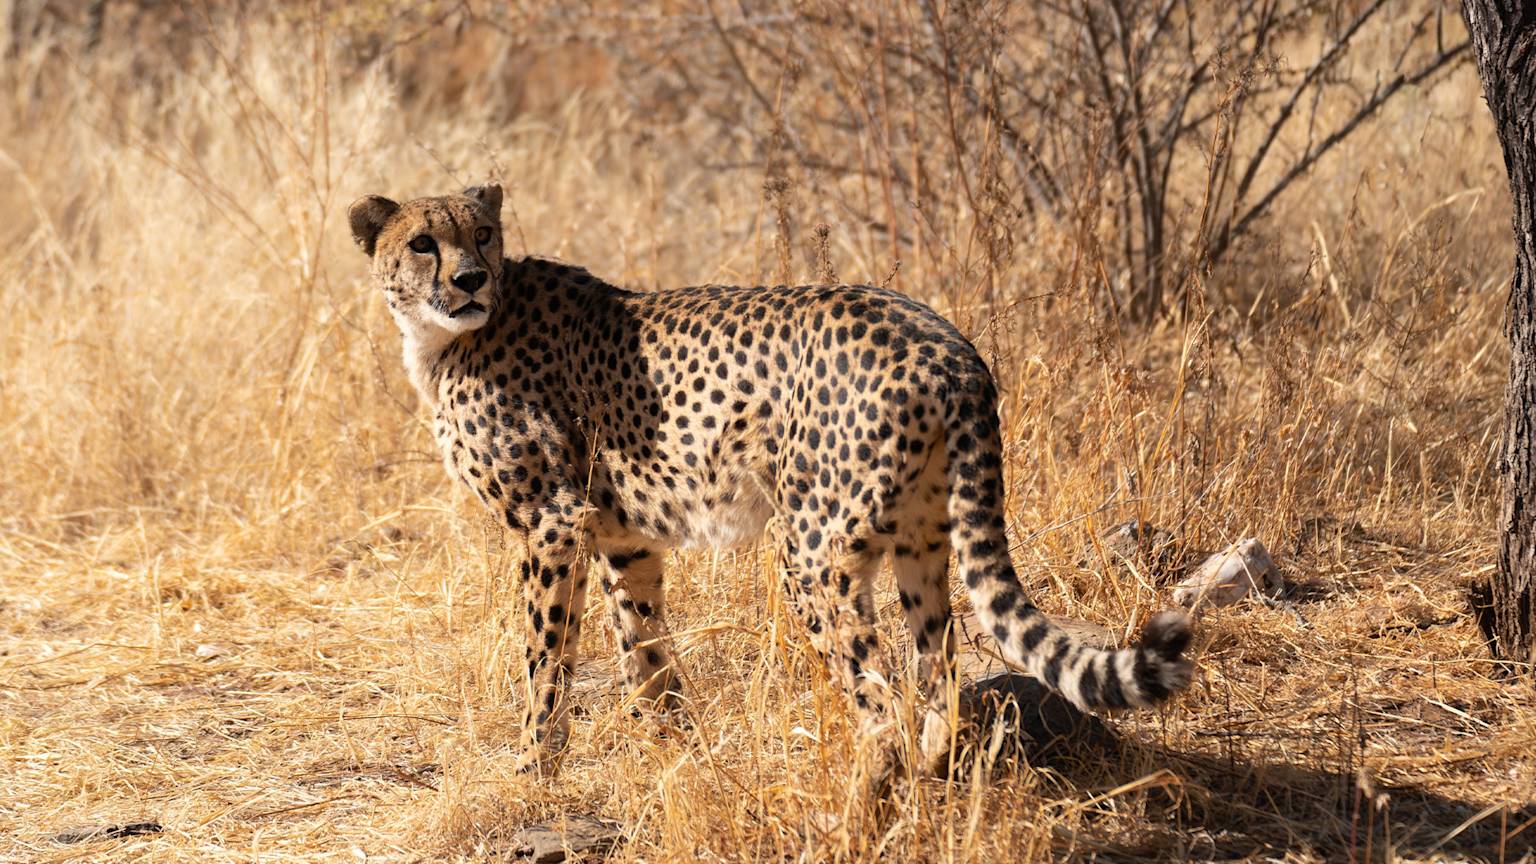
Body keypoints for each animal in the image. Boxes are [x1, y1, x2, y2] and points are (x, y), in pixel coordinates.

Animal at [348, 183, 1194, 781]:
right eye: (423, 242)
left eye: (482, 235)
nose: (468, 279)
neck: (448, 336)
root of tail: (946, 342)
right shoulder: (623, 538)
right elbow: (645, 651)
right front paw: (676, 755)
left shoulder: (552, 522)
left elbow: (546, 654)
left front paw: (534, 766)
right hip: (922, 540)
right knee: (938, 674)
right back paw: (932, 778)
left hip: (812, 551)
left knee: (880, 701)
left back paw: (859, 807)